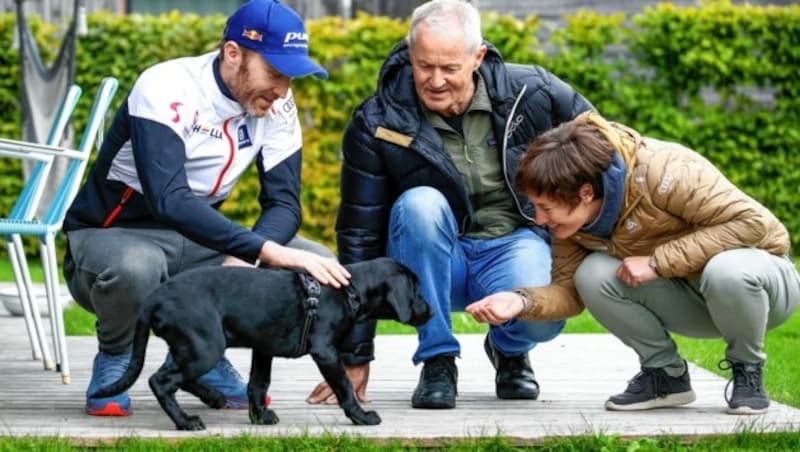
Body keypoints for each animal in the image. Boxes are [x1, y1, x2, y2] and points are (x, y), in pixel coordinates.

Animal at [89, 258, 432, 430]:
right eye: (416, 289)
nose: (429, 311)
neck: (348, 288)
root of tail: (154, 298)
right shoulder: (325, 351)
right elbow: (345, 387)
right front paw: (361, 417)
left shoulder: (263, 348)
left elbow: (258, 383)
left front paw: (259, 418)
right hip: (205, 347)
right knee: (160, 380)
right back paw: (186, 422)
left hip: (194, 345)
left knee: (174, 376)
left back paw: (213, 397)